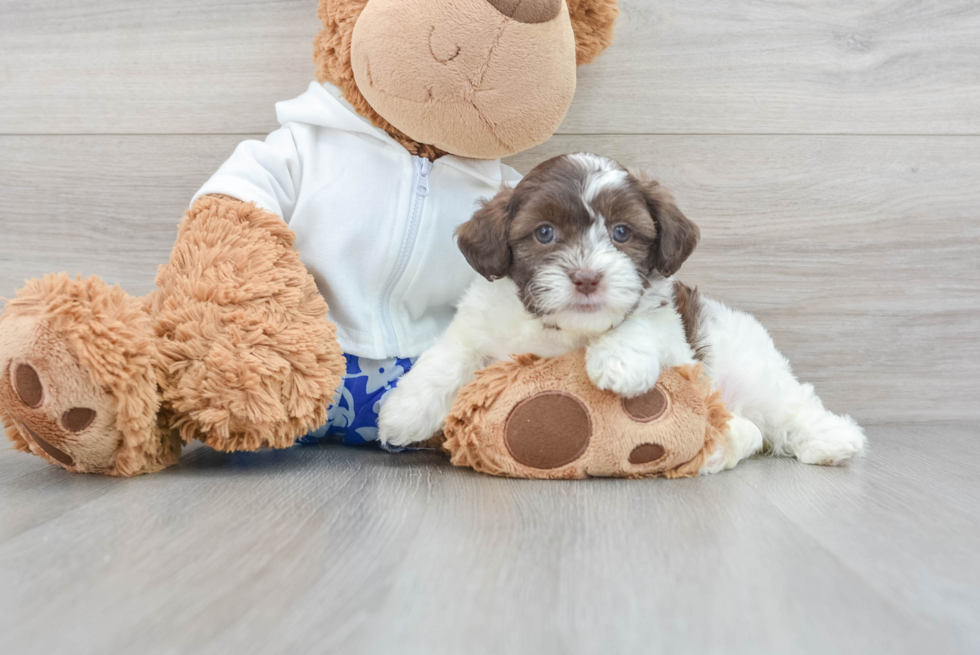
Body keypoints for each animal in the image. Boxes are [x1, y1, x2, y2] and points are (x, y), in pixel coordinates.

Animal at [378, 154, 864, 472]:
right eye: (544, 233)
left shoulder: (673, 335)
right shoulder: (480, 323)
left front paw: (618, 362)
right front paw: (403, 411)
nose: (587, 278)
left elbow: (644, 321)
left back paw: (833, 439)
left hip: (748, 366)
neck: (565, 332)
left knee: (787, 405)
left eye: (622, 232)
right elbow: (450, 355)